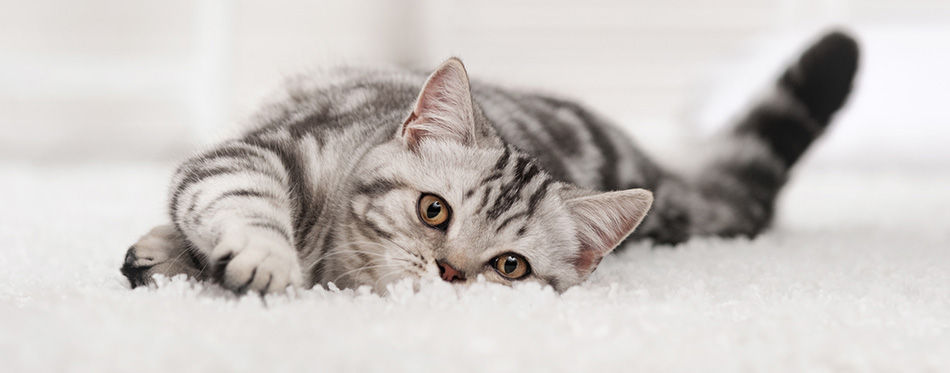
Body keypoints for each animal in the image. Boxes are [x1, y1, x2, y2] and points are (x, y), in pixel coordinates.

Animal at [121, 31, 864, 294]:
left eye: (510, 266)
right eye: (433, 210)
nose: (451, 272)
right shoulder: (264, 150)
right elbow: (242, 199)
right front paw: (265, 260)